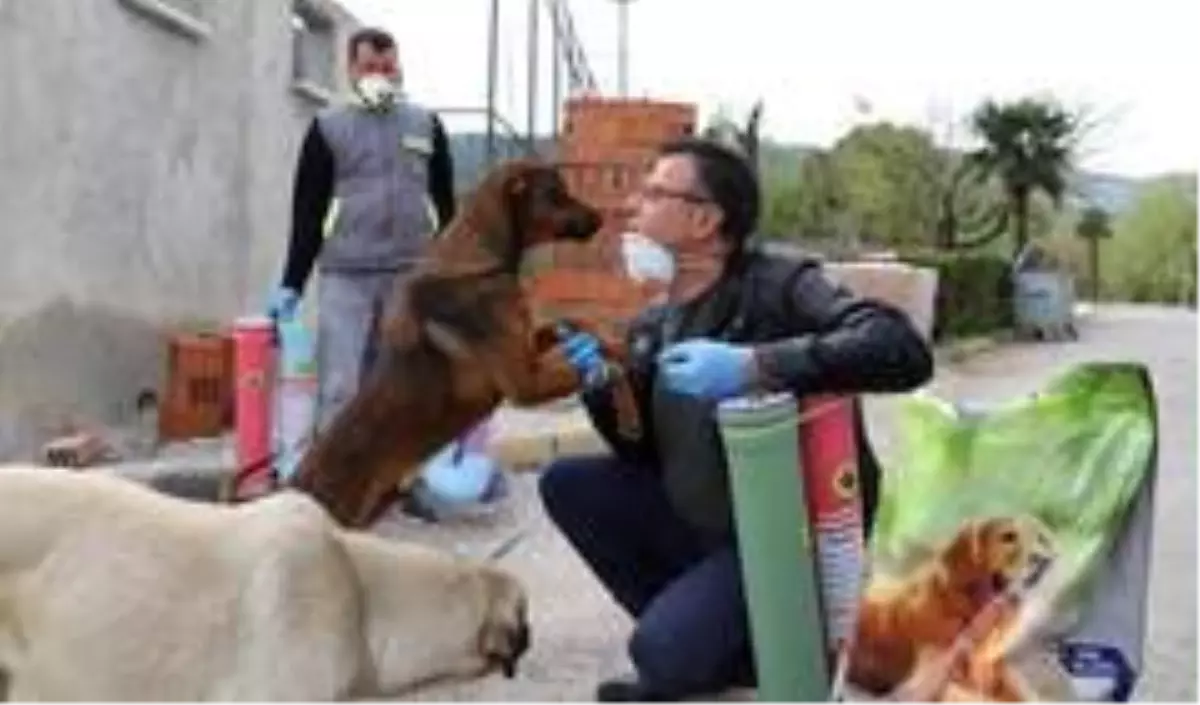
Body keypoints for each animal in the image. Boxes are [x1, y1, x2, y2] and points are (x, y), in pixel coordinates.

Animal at [286, 157, 643, 525]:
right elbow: (603, 358)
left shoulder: (528, 346)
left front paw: (620, 362)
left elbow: (582, 327)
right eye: (556, 193)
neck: (486, 262)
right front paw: (624, 365)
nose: (601, 219)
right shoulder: (525, 382)